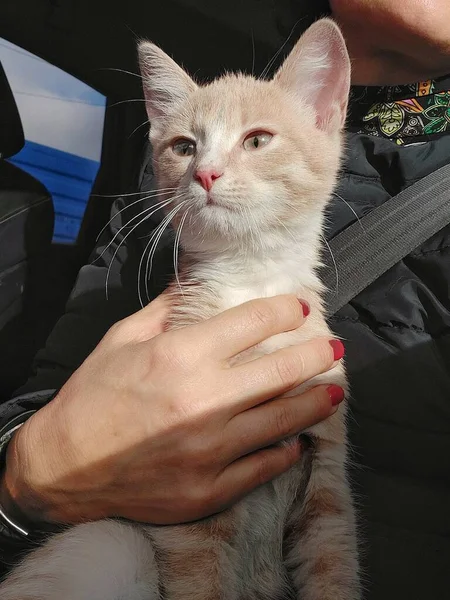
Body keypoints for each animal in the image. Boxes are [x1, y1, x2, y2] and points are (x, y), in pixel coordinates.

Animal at [0, 18, 358, 600]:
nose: (206, 174)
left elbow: (333, 567)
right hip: (111, 541)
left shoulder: (326, 483)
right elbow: (199, 578)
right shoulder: (192, 513)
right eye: (185, 147)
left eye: (258, 139)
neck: (250, 284)